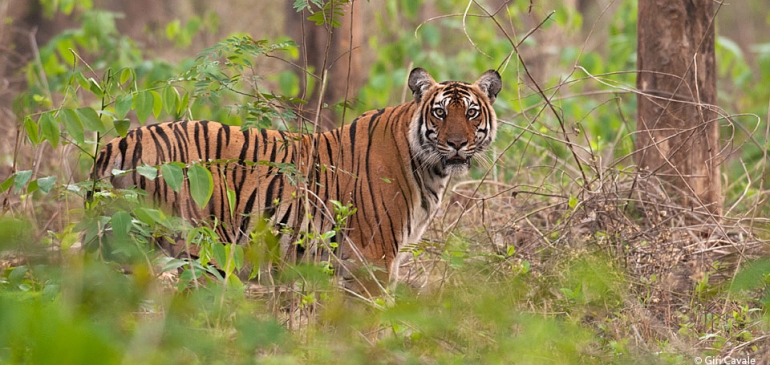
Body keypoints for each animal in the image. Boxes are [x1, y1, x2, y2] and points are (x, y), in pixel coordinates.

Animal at [90, 67, 500, 292]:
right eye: (440, 113)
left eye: (472, 113)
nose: (457, 143)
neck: (430, 168)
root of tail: (117, 142)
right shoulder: (374, 257)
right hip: (194, 249)